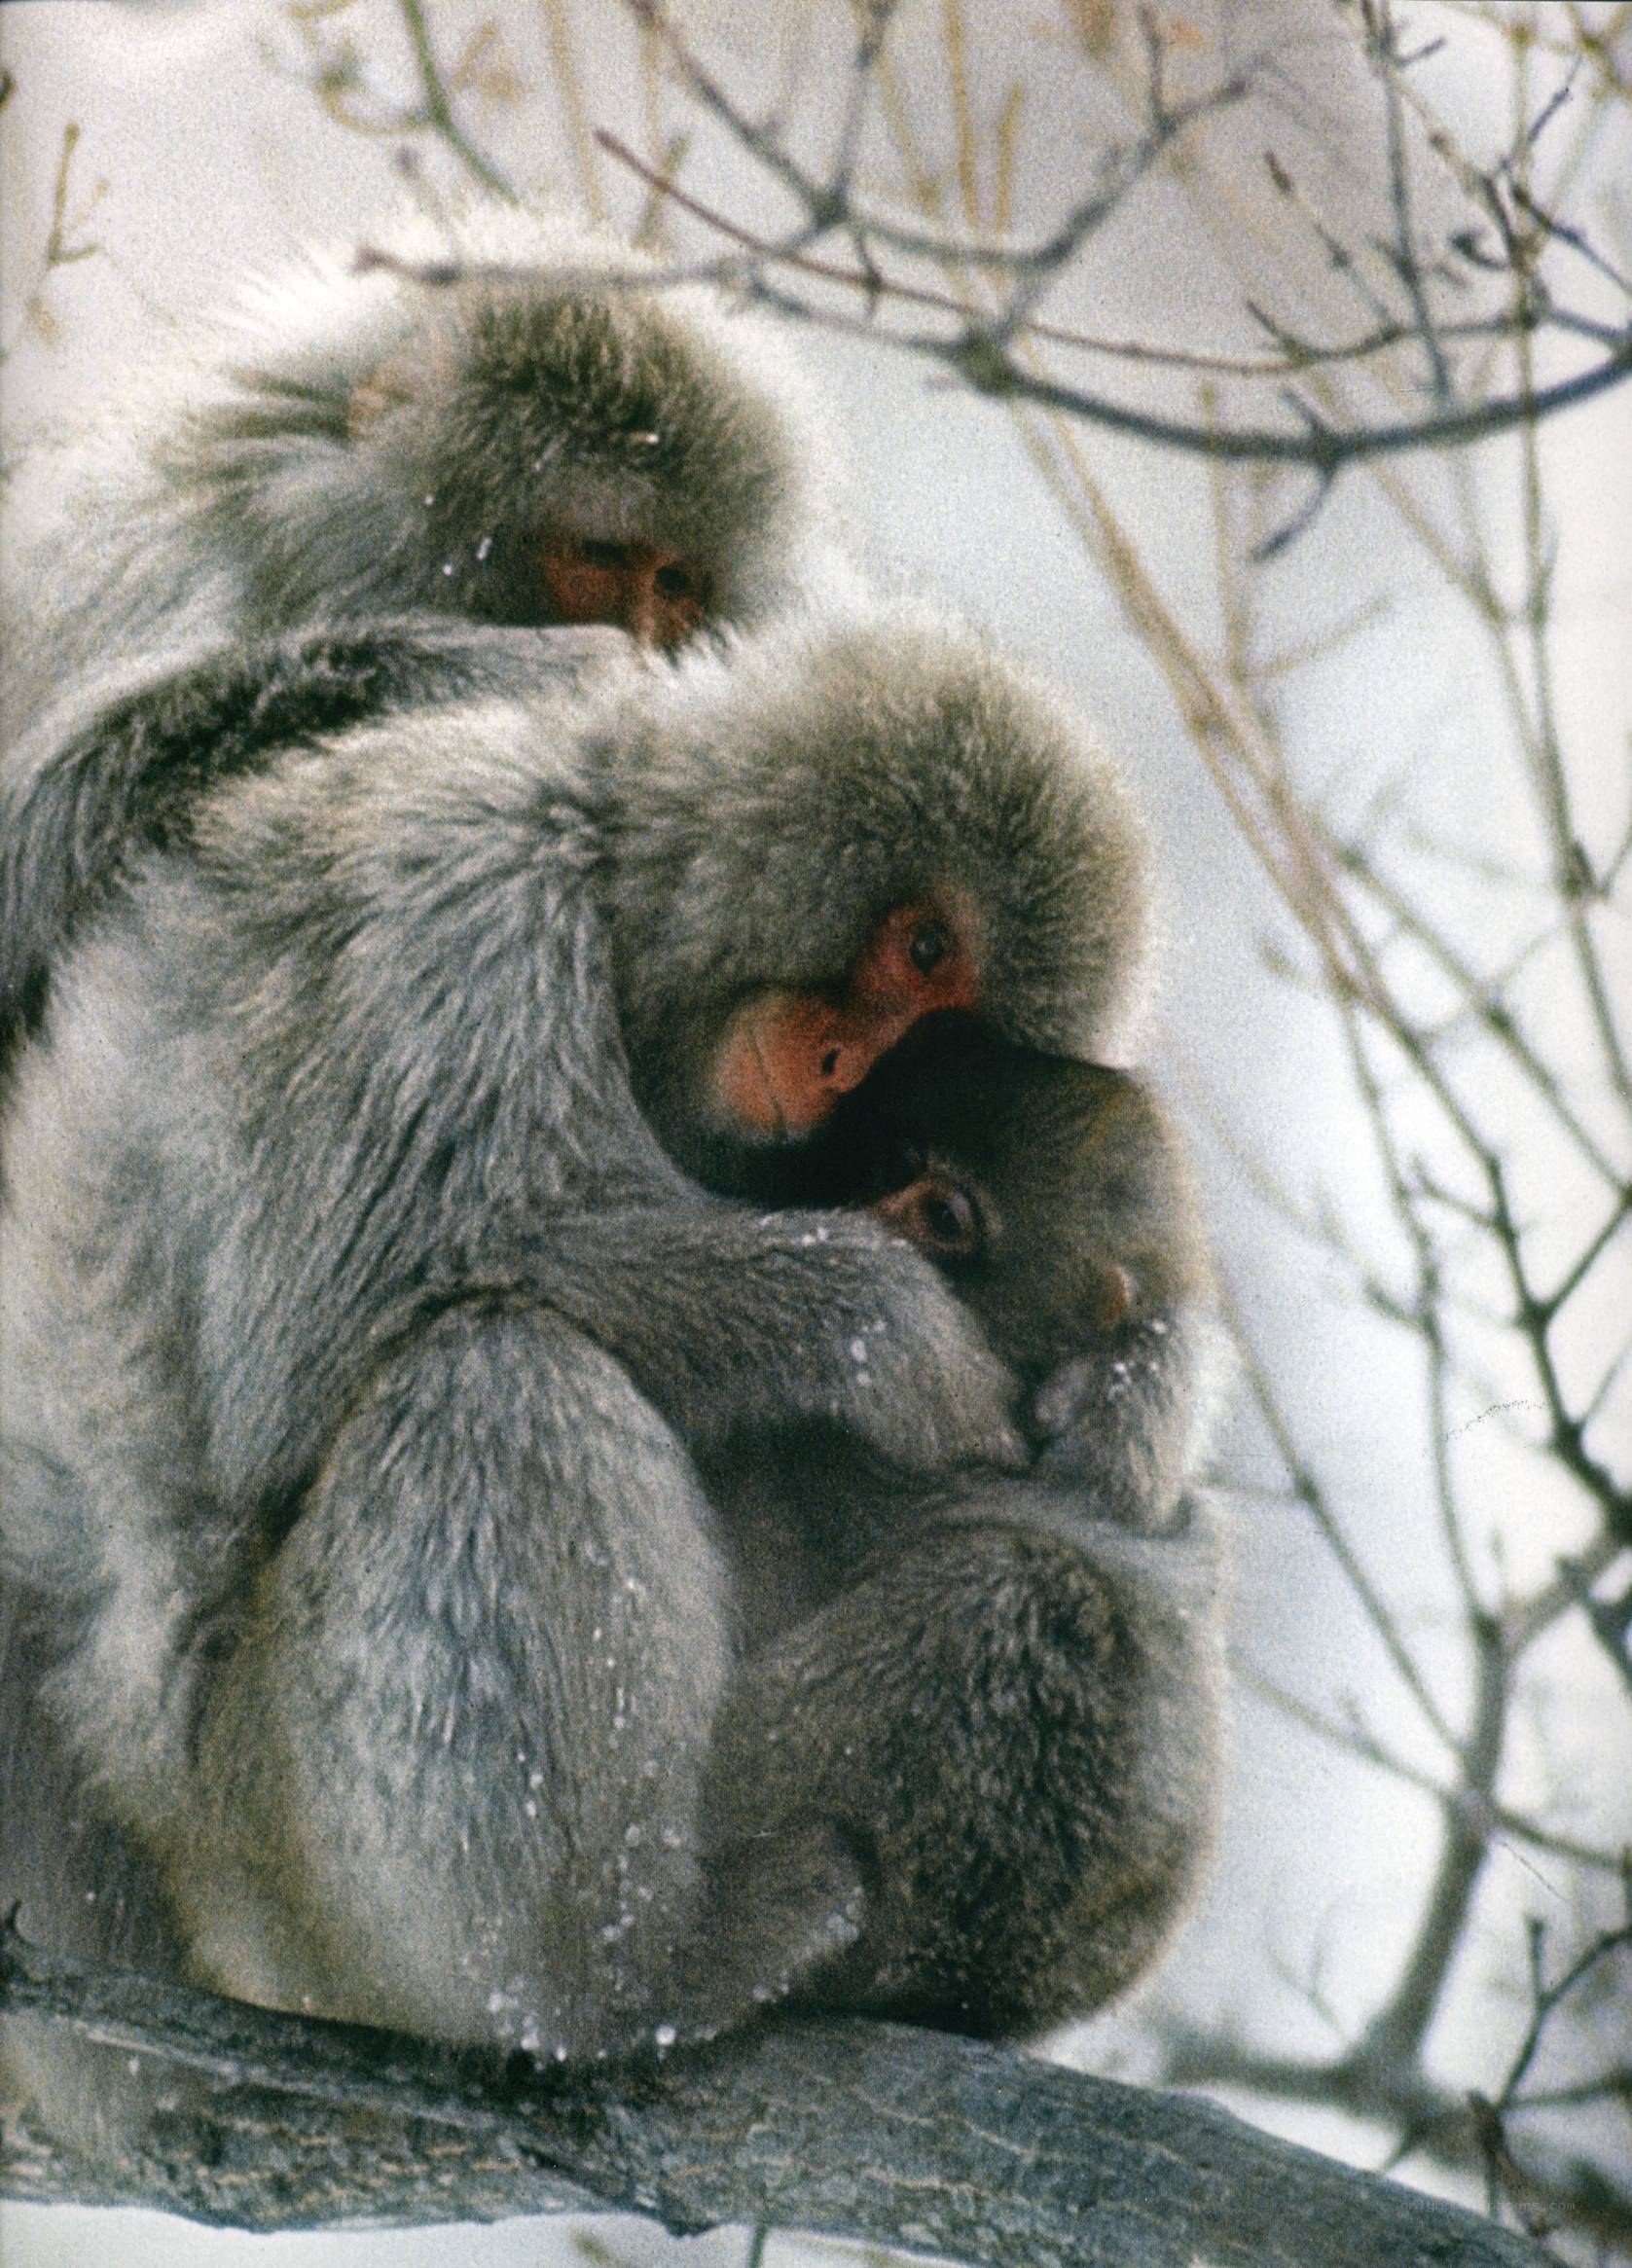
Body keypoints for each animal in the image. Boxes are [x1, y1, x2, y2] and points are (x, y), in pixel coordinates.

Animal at [1, 601, 1172, 2132]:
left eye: (943, 1021)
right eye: (922, 946)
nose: (847, 1064)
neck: (623, 943)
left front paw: (1139, 1386)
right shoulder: (455, 904)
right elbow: (326, 1323)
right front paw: (882, 1324)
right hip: (259, 1849)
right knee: (493, 1379)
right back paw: (613, 1979)